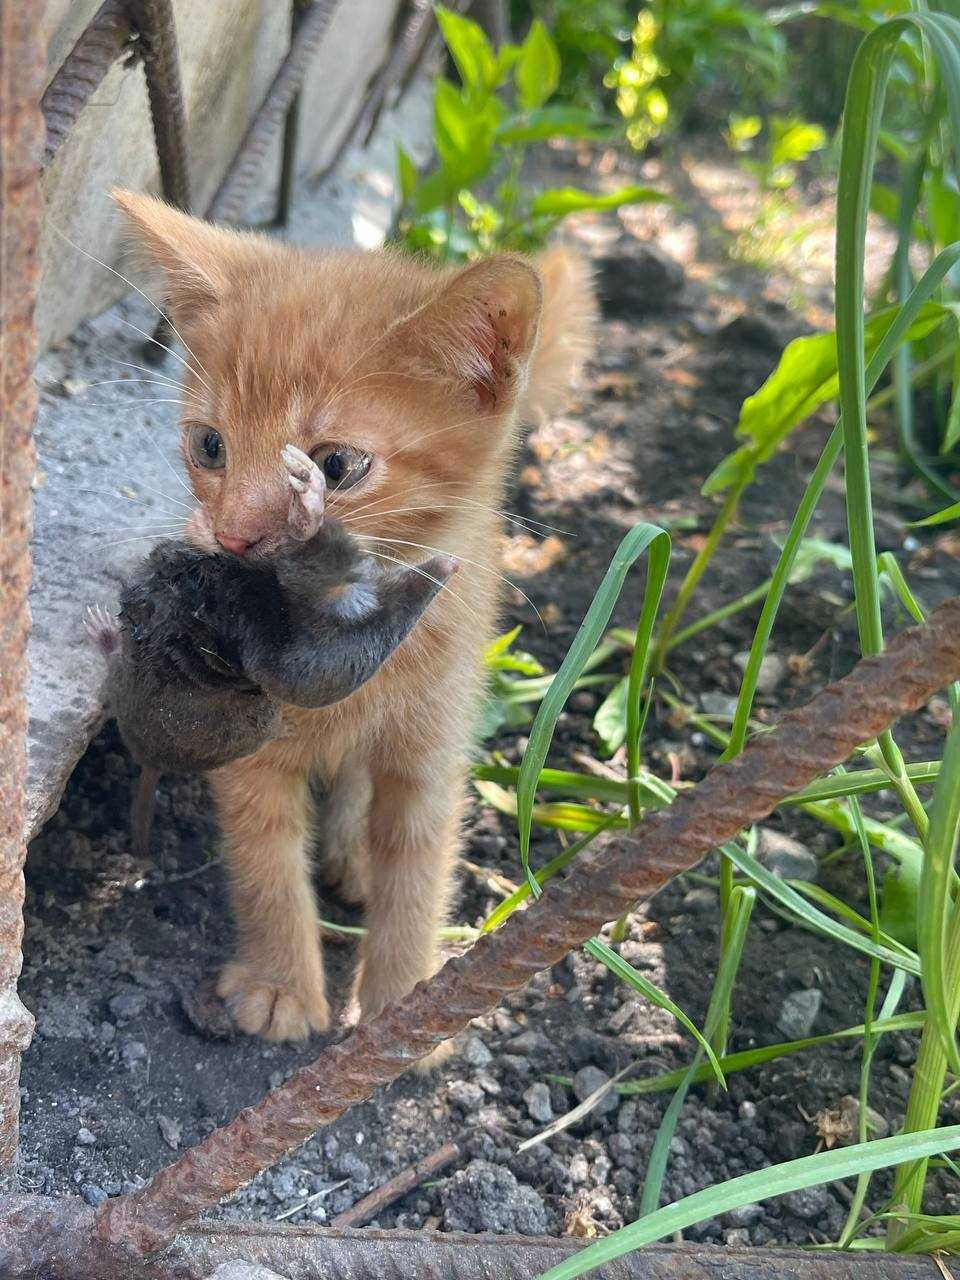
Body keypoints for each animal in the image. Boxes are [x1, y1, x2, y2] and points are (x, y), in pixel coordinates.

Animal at [112, 192, 593, 1049]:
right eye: (210, 446)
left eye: (335, 466)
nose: (233, 536)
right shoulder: (248, 744)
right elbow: (265, 860)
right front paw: (279, 984)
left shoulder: (434, 744)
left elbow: (419, 862)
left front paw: (404, 1004)